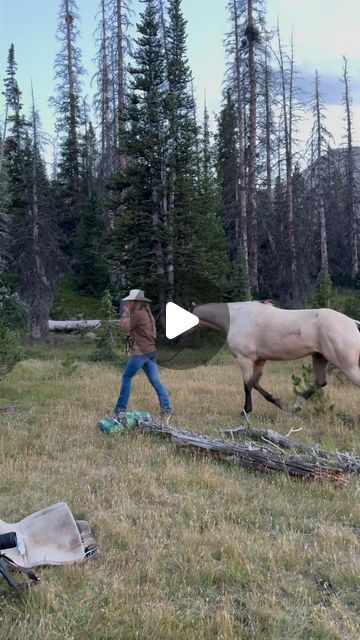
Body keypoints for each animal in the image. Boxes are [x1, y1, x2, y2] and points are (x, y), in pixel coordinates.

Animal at [193, 302, 360, 418]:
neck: (237, 317)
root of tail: (353, 323)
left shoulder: (244, 359)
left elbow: (247, 386)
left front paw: (246, 411)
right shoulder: (260, 360)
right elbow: (255, 384)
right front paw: (277, 402)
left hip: (347, 365)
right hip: (320, 357)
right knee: (320, 382)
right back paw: (296, 406)